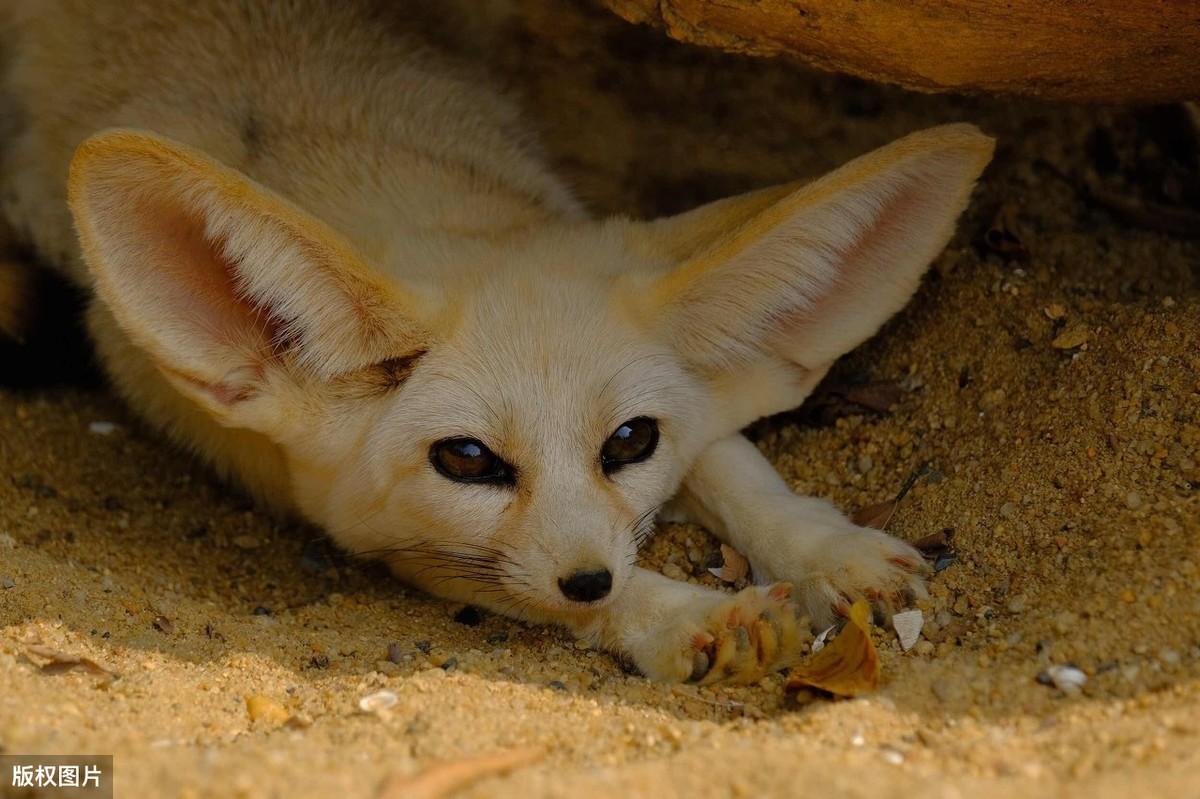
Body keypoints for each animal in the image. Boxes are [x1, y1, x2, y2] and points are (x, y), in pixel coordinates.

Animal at [0, 3, 993, 681]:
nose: (589, 578)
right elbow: (535, 581)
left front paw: (830, 547)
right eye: (468, 459)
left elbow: (730, 457)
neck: (384, 158)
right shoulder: (397, 542)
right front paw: (689, 616)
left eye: (630, 441)